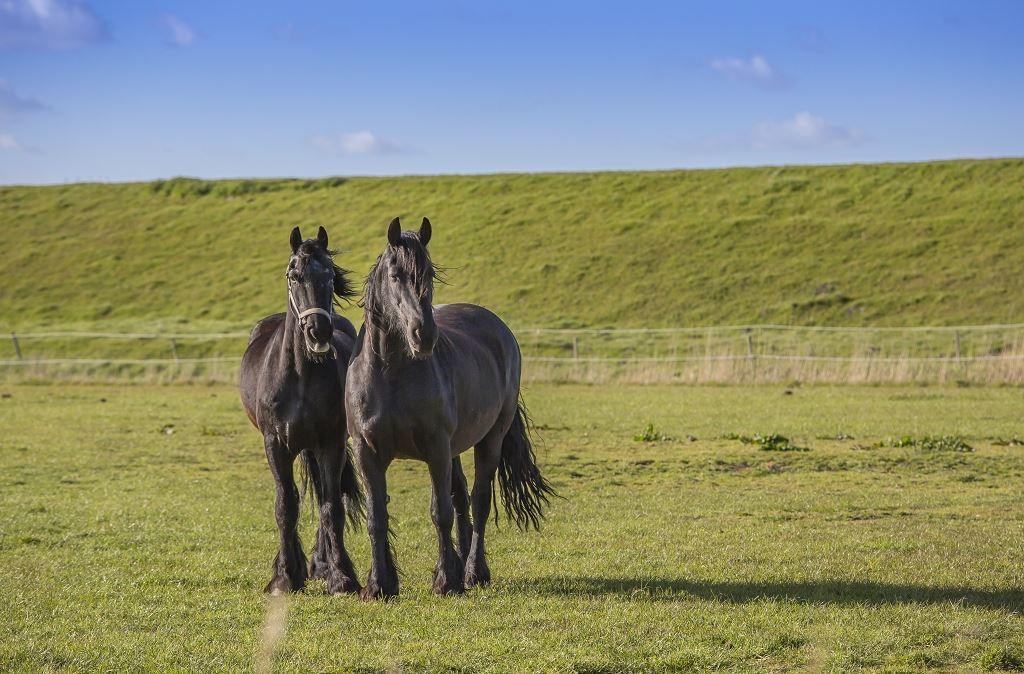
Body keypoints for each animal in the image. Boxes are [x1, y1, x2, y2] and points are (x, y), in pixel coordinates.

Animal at [240, 225, 363, 595]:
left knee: (325, 495)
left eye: (330, 275)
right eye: (295, 275)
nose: (318, 332)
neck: (300, 378)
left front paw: (341, 576)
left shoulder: (331, 444)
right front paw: (284, 576)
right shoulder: (276, 445)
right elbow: (286, 505)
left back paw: (321, 564)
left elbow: (331, 506)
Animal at [345, 216, 556, 599]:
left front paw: (445, 581)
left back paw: (473, 572)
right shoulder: (366, 451)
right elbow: (376, 517)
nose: (424, 335)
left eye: (429, 273)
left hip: (489, 439)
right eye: (395, 275)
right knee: (462, 501)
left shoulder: (436, 449)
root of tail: (498, 328)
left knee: (479, 501)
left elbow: (439, 512)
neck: (390, 374)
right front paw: (379, 584)